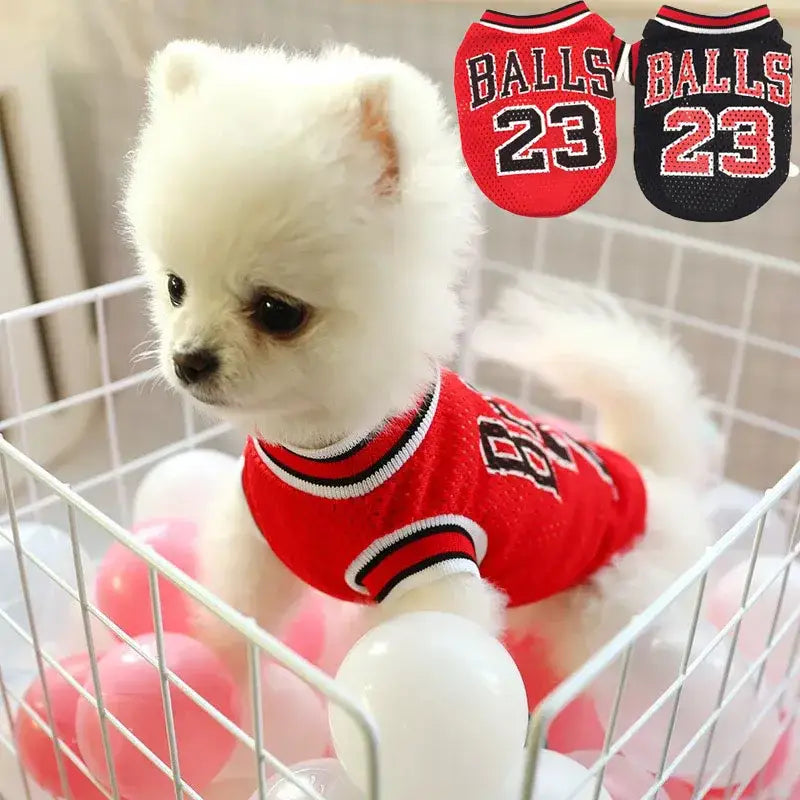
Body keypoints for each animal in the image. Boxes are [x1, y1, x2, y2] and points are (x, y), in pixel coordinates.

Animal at [126, 40, 720, 680]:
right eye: (175, 287)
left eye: (277, 311)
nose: (188, 360)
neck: (323, 448)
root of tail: (652, 474)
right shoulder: (258, 539)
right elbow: (234, 622)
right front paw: (219, 682)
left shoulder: (429, 558)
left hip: (603, 605)